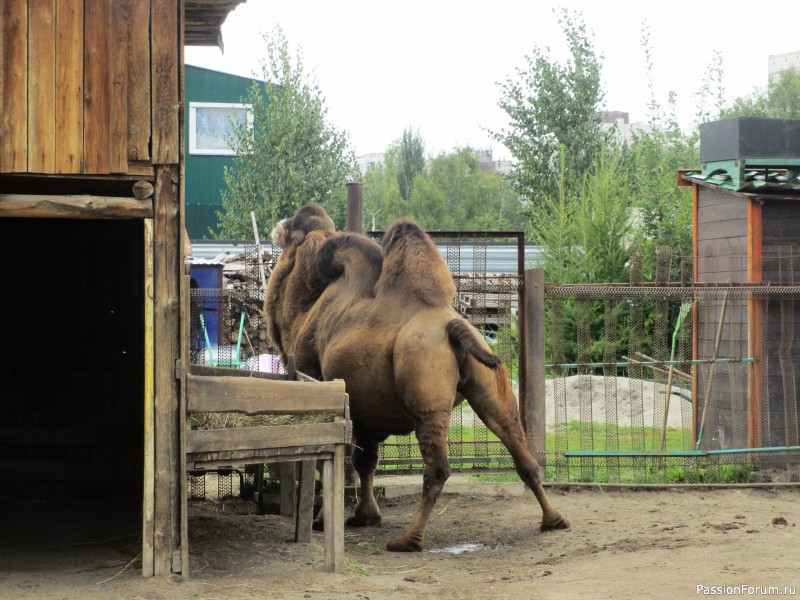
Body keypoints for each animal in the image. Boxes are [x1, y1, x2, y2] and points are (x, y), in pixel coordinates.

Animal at [268, 204, 568, 552]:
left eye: (292, 228)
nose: (278, 226)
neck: (307, 308)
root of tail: (454, 327)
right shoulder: (366, 410)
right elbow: (366, 461)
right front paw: (366, 516)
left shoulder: (316, 380)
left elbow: (329, 460)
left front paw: (321, 520)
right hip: (490, 387)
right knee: (521, 451)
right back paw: (554, 520)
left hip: (424, 389)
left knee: (437, 468)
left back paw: (408, 540)